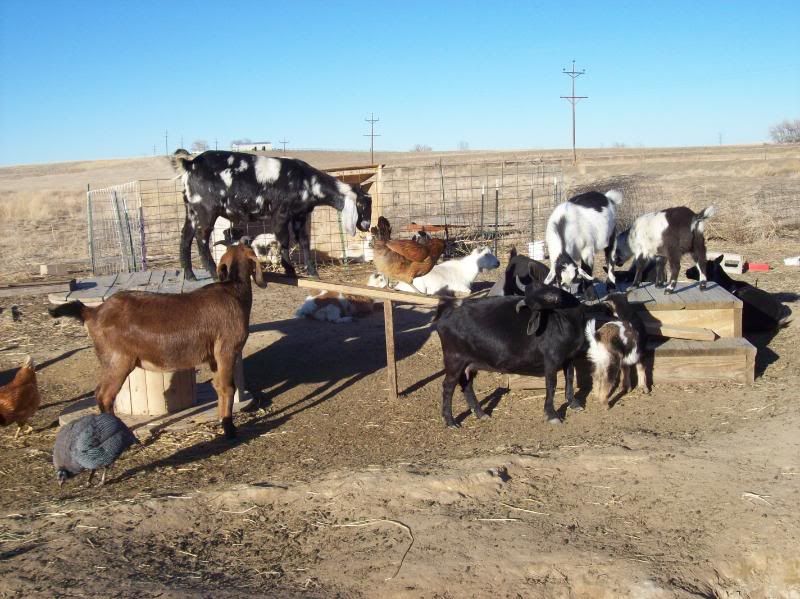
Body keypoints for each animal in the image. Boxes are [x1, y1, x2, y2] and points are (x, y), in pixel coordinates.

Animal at [48, 244, 267, 439]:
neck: (233, 290)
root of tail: (93, 312)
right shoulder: (227, 350)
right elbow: (228, 388)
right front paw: (229, 430)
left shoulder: (213, 357)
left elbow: (219, 388)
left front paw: (223, 423)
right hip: (118, 360)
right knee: (104, 395)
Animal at [171, 150, 372, 280]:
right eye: (363, 205)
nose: (367, 225)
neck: (307, 181)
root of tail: (190, 164)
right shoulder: (281, 214)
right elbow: (284, 241)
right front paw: (290, 271)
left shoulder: (300, 215)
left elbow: (304, 242)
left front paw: (313, 273)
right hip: (205, 210)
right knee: (201, 239)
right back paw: (213, 273)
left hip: (191, 210)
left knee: (185, 237)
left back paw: (190, 275)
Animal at [435, 282, 587, 427]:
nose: (552, 297)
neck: (567, 322)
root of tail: (444, 320)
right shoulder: (551, 359)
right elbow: (551, 384)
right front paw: (552, 415)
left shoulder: (569, 357)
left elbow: (570, 378)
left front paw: (574, 403)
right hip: (454, 359)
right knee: (448, 387)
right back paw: (450, 421)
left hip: (470, 363)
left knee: (467, 385)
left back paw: (481, 414)